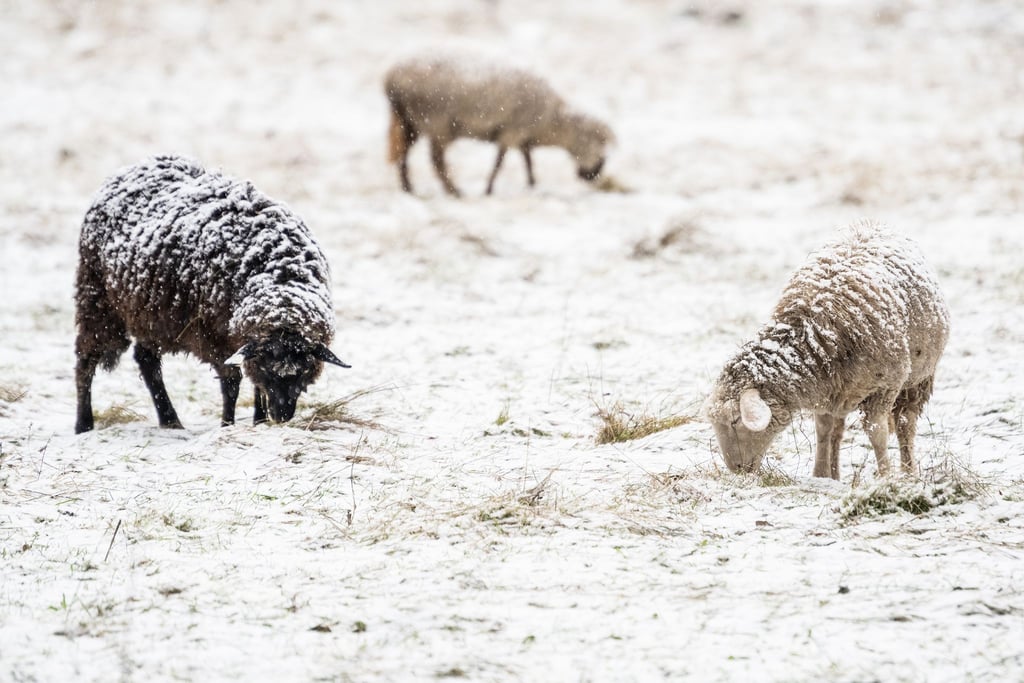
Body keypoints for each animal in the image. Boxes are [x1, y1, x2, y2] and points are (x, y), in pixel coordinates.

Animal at [74, 155, 350, 434]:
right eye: (268, 368)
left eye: (304, 370)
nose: (281, 415)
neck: (279, 274)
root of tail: (134, 167)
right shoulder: (214, 336)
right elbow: (232, 384)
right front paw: (227, 424)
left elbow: (254, 386)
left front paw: (259, 421)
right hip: (97, 298)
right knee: (86, 359)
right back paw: (84, 424)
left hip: (149, 314)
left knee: (146, 360)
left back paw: (170, 420)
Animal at [384, 53, 614, 197]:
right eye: (597, 142)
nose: (594, 175)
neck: (551, 122)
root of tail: (391, 79)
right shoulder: (512, 132)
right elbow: (500, 163)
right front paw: (488, 189)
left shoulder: (521, 135)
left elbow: (528, 160)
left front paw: (532, 184)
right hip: (436, 123)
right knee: (437, 161)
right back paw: (454, 191)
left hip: (410, 123)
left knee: (404, 154)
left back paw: (408, 188)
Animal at [705, 222, 950, 479]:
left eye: (735, 420)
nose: (736, 469)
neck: (815, 334)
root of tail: (872, 224)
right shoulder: (826, 390)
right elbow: (823, 431)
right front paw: (821, 475)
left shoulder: (884, 386)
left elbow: (877, 433)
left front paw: (885, 477)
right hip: (844, 390)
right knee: (838, 429)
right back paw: (836, 472)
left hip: (917, 380)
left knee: (905, 424)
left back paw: (908, 472)